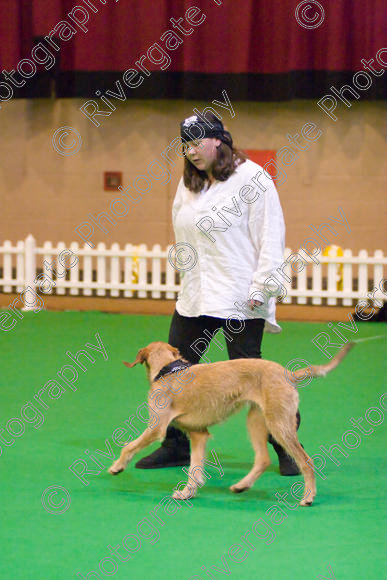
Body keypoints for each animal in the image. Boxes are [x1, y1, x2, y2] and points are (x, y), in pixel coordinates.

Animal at [108, 342, 354, 506]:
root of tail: (288, 374)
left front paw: (117, 467)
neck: (168, 370)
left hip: (279, 425)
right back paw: (242, 485)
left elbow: (128, 447)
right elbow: (194, 469)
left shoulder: (156, 428)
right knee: (263, 459)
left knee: (306, 461)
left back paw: (308, 496)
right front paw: (187, 493)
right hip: (256, 421)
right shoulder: (198, 434)